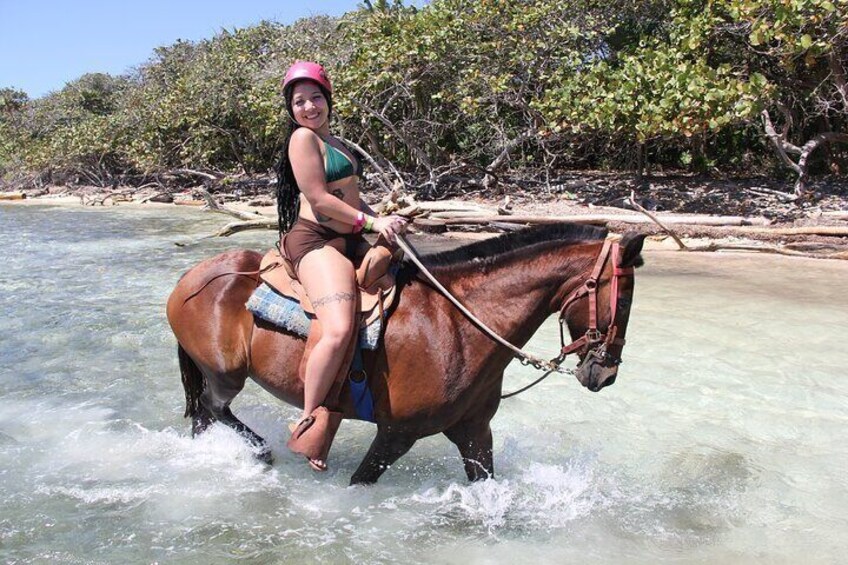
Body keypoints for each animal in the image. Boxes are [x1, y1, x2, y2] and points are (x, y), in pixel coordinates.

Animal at [164, 225, 644, 484]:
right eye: (622, 301)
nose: (605, 374)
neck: (458, 325)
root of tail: (192, 278)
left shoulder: (474, 432)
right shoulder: (397, 434)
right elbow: (360, 480)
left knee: (206, 414)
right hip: (225, 374)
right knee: (212, 407)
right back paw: (260, 451)